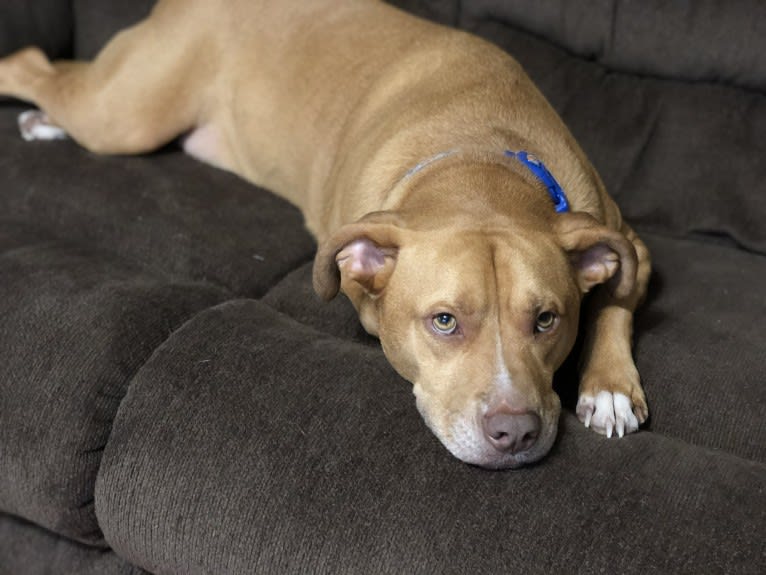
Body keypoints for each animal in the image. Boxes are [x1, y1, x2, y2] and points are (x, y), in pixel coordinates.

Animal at [0, 0, 656, 470]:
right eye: (444, 321)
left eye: (547, 320)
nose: (515, 431)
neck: (481, 161)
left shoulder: (626, 239)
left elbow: (617, 300)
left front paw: (609, 388)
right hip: (126, 118)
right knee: (30, 62)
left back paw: (43, 122)